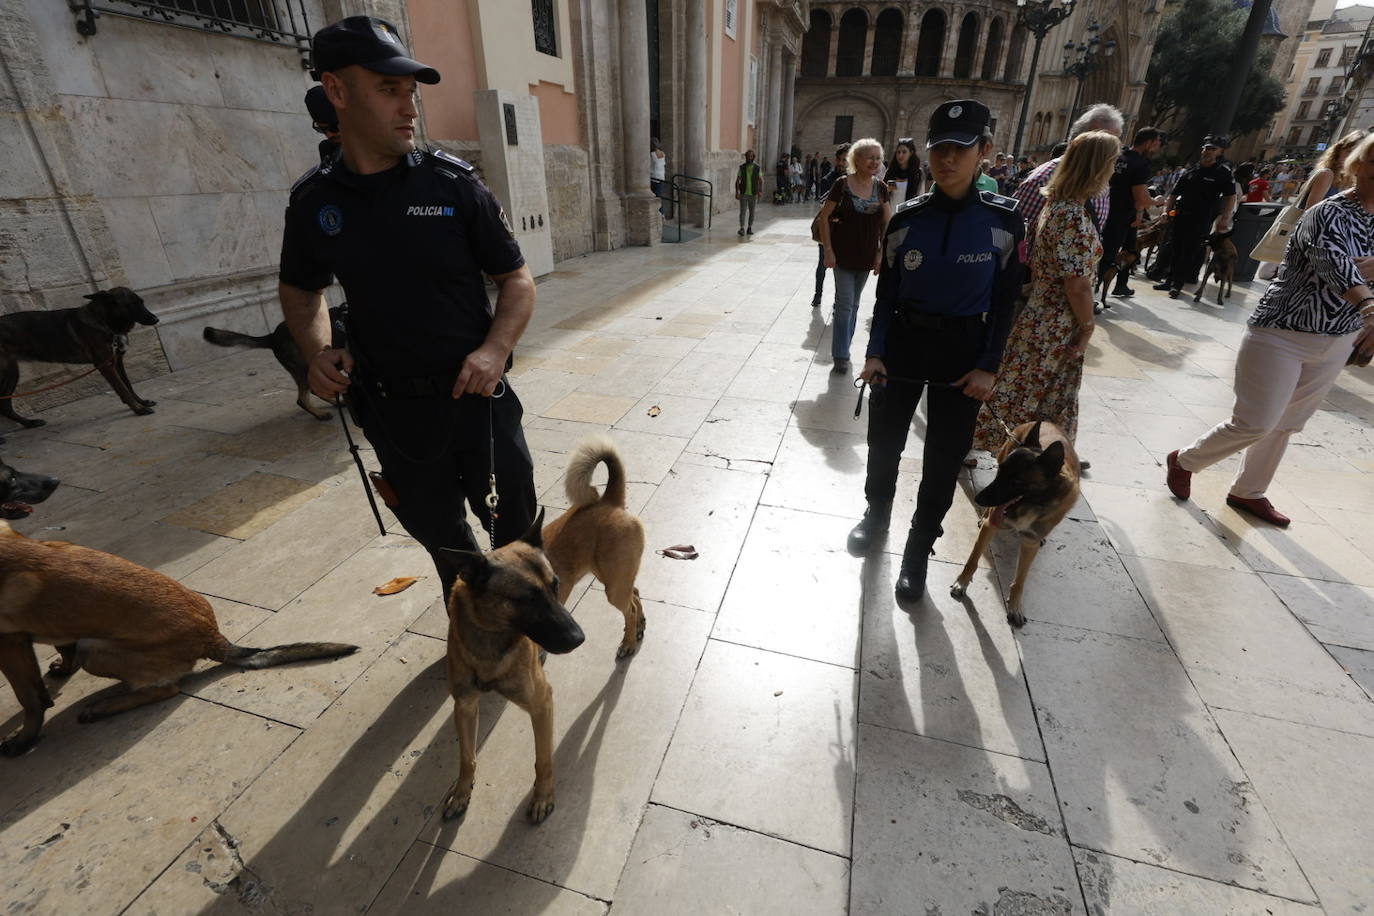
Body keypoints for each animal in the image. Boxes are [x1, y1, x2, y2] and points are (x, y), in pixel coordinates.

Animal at [0, 287, 159, 431]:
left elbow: (128, 385)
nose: (157, 319)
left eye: (141, 302)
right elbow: (122, 388)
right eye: (131, 305)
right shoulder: (105, 365)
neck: (103, 321)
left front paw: (141, 402)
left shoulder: (117, 361)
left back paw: (29, 423)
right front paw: (139, 409)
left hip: (11, 373)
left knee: (5, 406)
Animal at [0, 519, 359, 758]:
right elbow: (54, 657)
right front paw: (59, 672)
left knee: (166, 689)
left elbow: (28, 698)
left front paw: (24, 739)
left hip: (96, 650)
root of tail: (211, 636)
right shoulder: (42, 630)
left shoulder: (10, 644)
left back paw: (103, 707)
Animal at [442, 508, 588, 823]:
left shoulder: (541, 703)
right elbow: (466, 758)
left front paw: (543, 796)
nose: (579, 638)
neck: (491, 639)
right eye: (527, 599)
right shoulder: (464, 706)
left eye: (556, 585)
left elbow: (543, 759)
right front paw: (461, 792)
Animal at [950, 422, 1077, 631]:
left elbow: (1020, 580)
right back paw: (983, 517)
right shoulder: (992, 525)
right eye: (1001, 472)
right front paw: (961, 583)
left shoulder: (1030, 543)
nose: (979, 499)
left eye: (1017, 481)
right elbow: (972, 560)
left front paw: (1015, 607)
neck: (1032, 505)